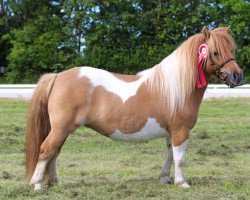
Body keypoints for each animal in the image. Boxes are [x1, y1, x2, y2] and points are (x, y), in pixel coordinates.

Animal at [25, 26, 242, 189]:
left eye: (232, 49)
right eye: (215, 52)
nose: (237, 76)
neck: (175, 87)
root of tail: (57, 76)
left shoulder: (171, 132)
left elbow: (170, 155)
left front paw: (165, 178)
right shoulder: (181, 131)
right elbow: (179, 158)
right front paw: (182, 182)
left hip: (63, 130)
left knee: (54, 153)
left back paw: (54, 182)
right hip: (61, 129)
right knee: (46, 150)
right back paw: (37, 184)